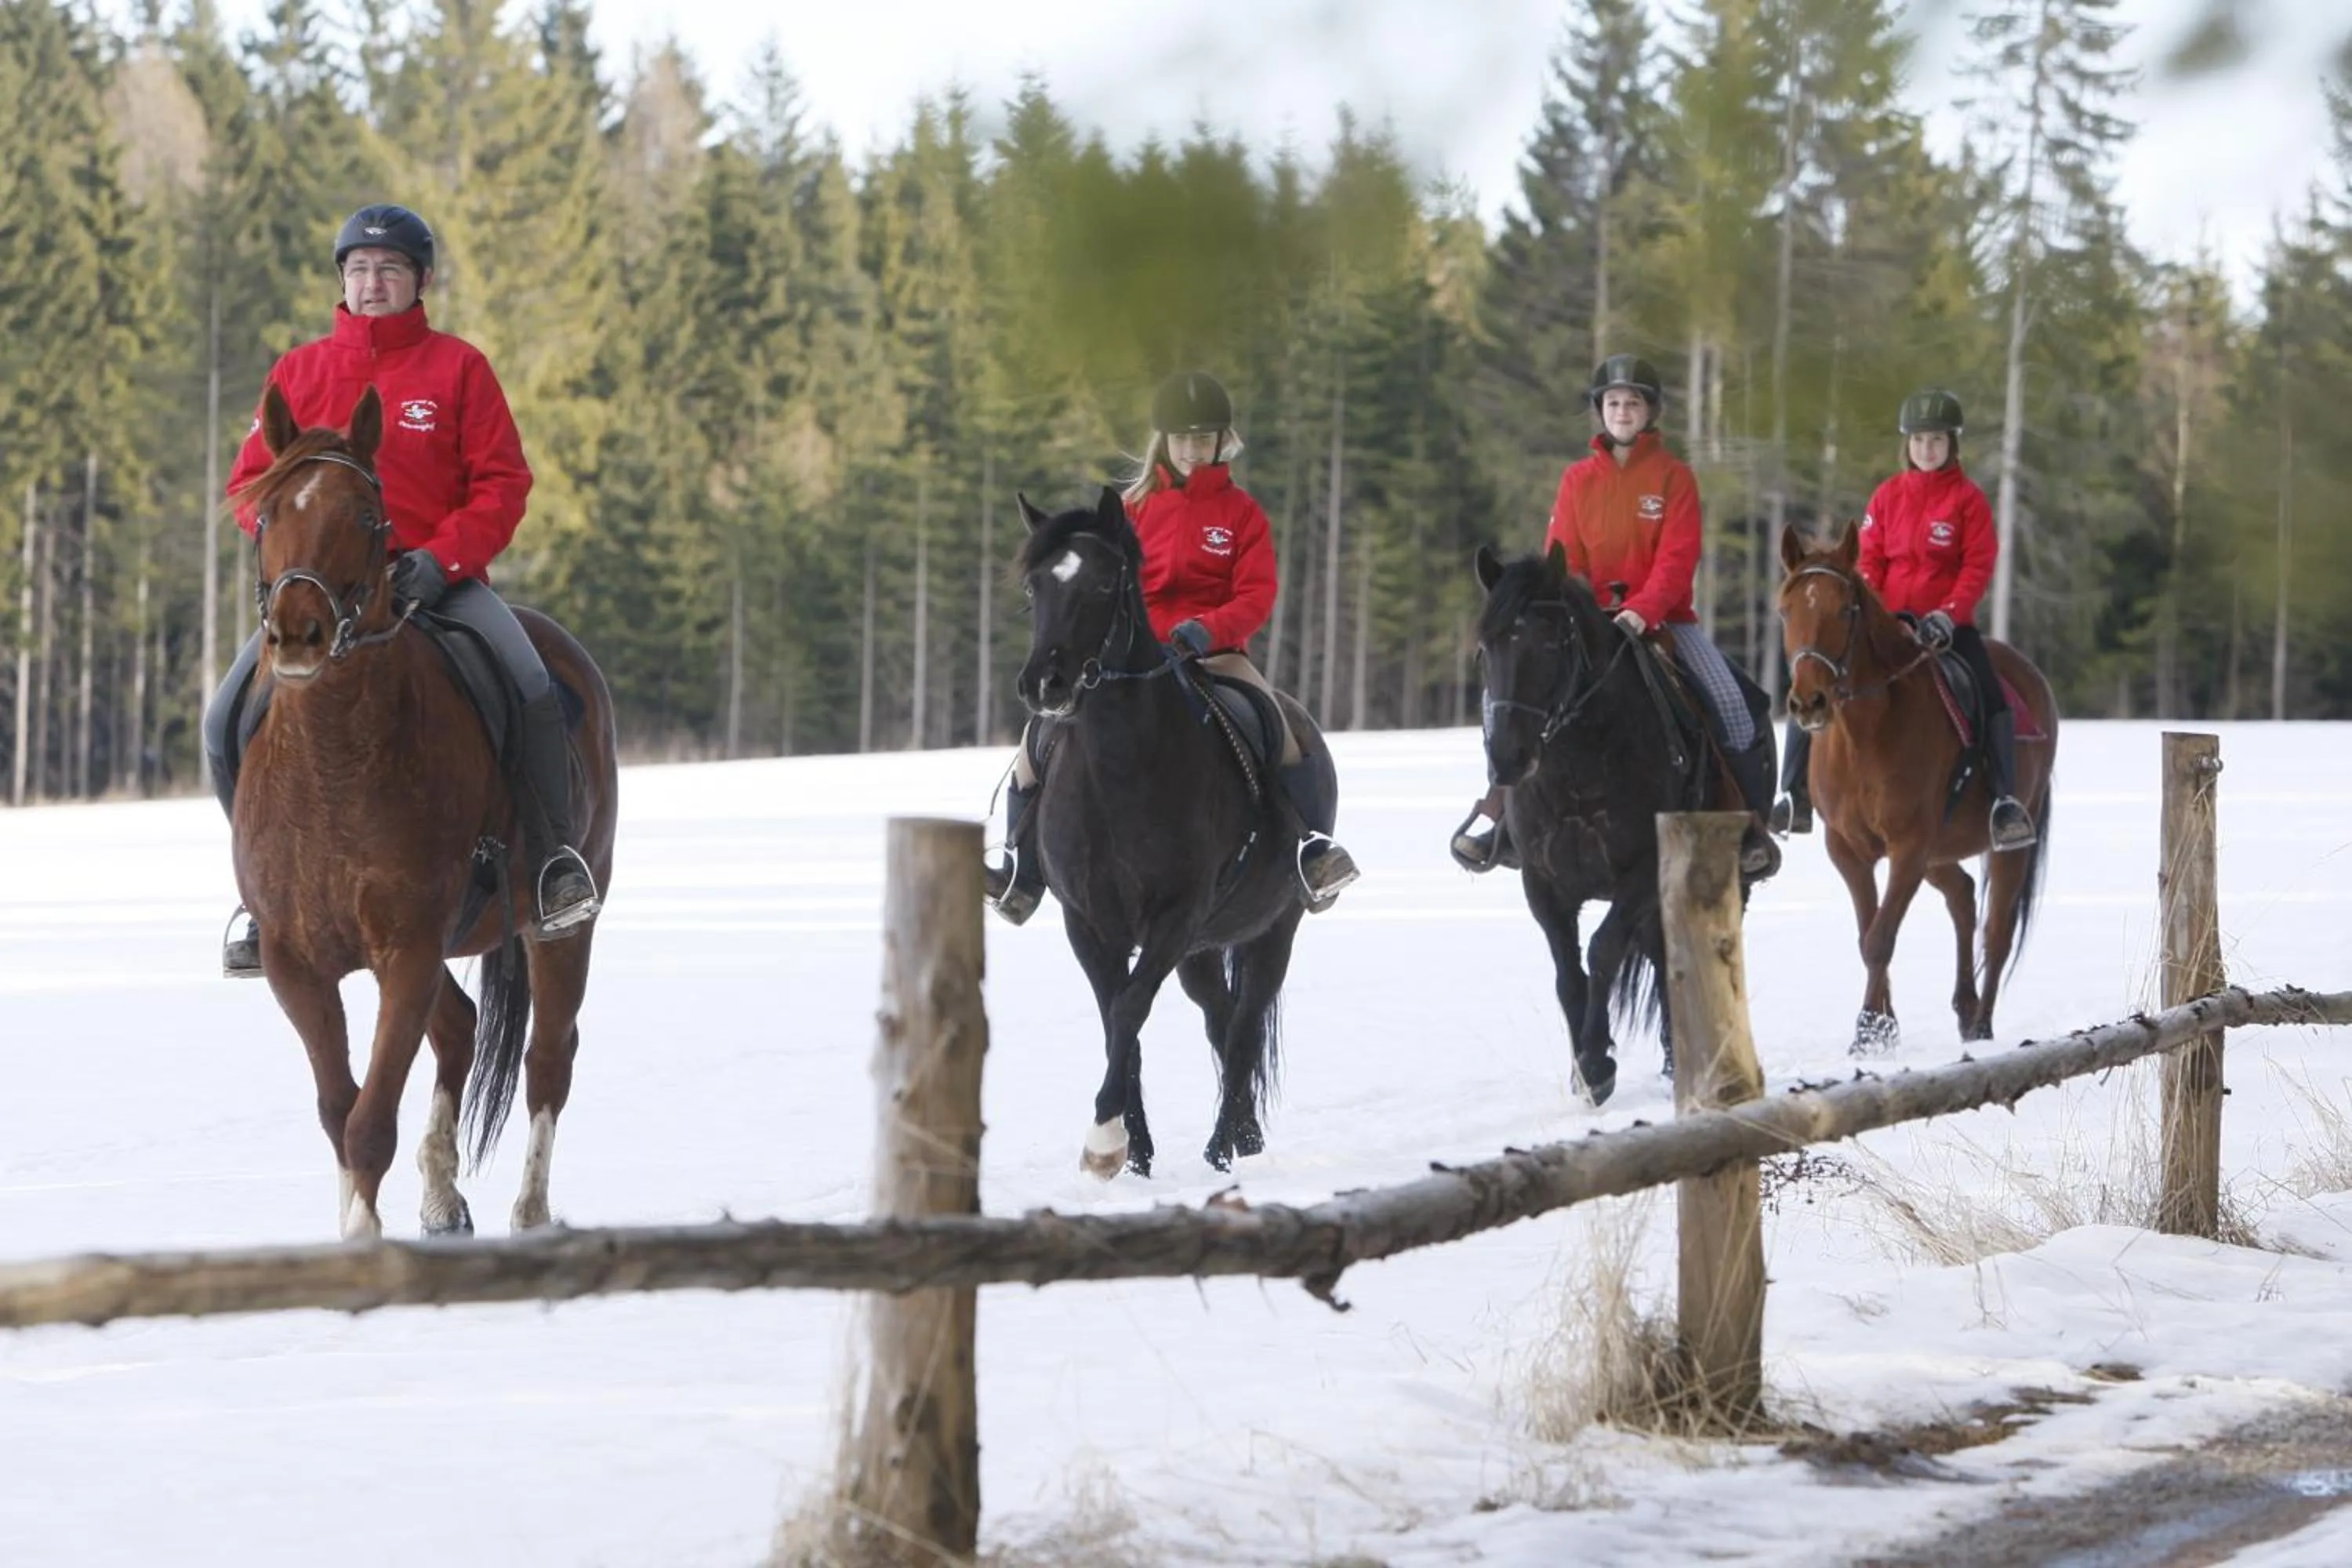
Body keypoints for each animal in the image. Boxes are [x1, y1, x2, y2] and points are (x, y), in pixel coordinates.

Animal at [1014, 486, 1334, 1179]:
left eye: (1105, 581)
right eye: (1034, 585)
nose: (1044, 684)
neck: (1119, 773)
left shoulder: (1174, 917)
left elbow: (1131, 1009)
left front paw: (1104, 1143)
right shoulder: (1089, 923)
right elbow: (1117, 1023)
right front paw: (1134, 1154)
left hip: (1273, 930)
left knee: (1243, 1027)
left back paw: (1223, 1147)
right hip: (1203, 950)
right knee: (1221, 1017)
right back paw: (1243, 1136)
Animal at [1472, 542, 1735, 1107]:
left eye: (1552, 644)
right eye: (1486, 647)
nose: (1507, 761)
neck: (1580, 765)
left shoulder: (1641, 872)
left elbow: (1602, 951)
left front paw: (1597, 1063)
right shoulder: (1543, 883)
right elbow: (1567, 974)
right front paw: (1582, 1072)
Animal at [1775, 522, 2058, 1053]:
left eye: (1845, 610)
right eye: (1785, 610)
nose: (1808, 702)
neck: (1864, 735)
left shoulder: (1907, 846)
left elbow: (1880, 938)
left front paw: (1869, 1029)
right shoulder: (1849, 849)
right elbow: (1868, 932)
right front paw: (1880, 1027)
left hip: (2001, 846)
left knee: (1996, 931)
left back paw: (1982, 1023)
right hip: (1938, 852)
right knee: (1963, 897)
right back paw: (1966, 1007)